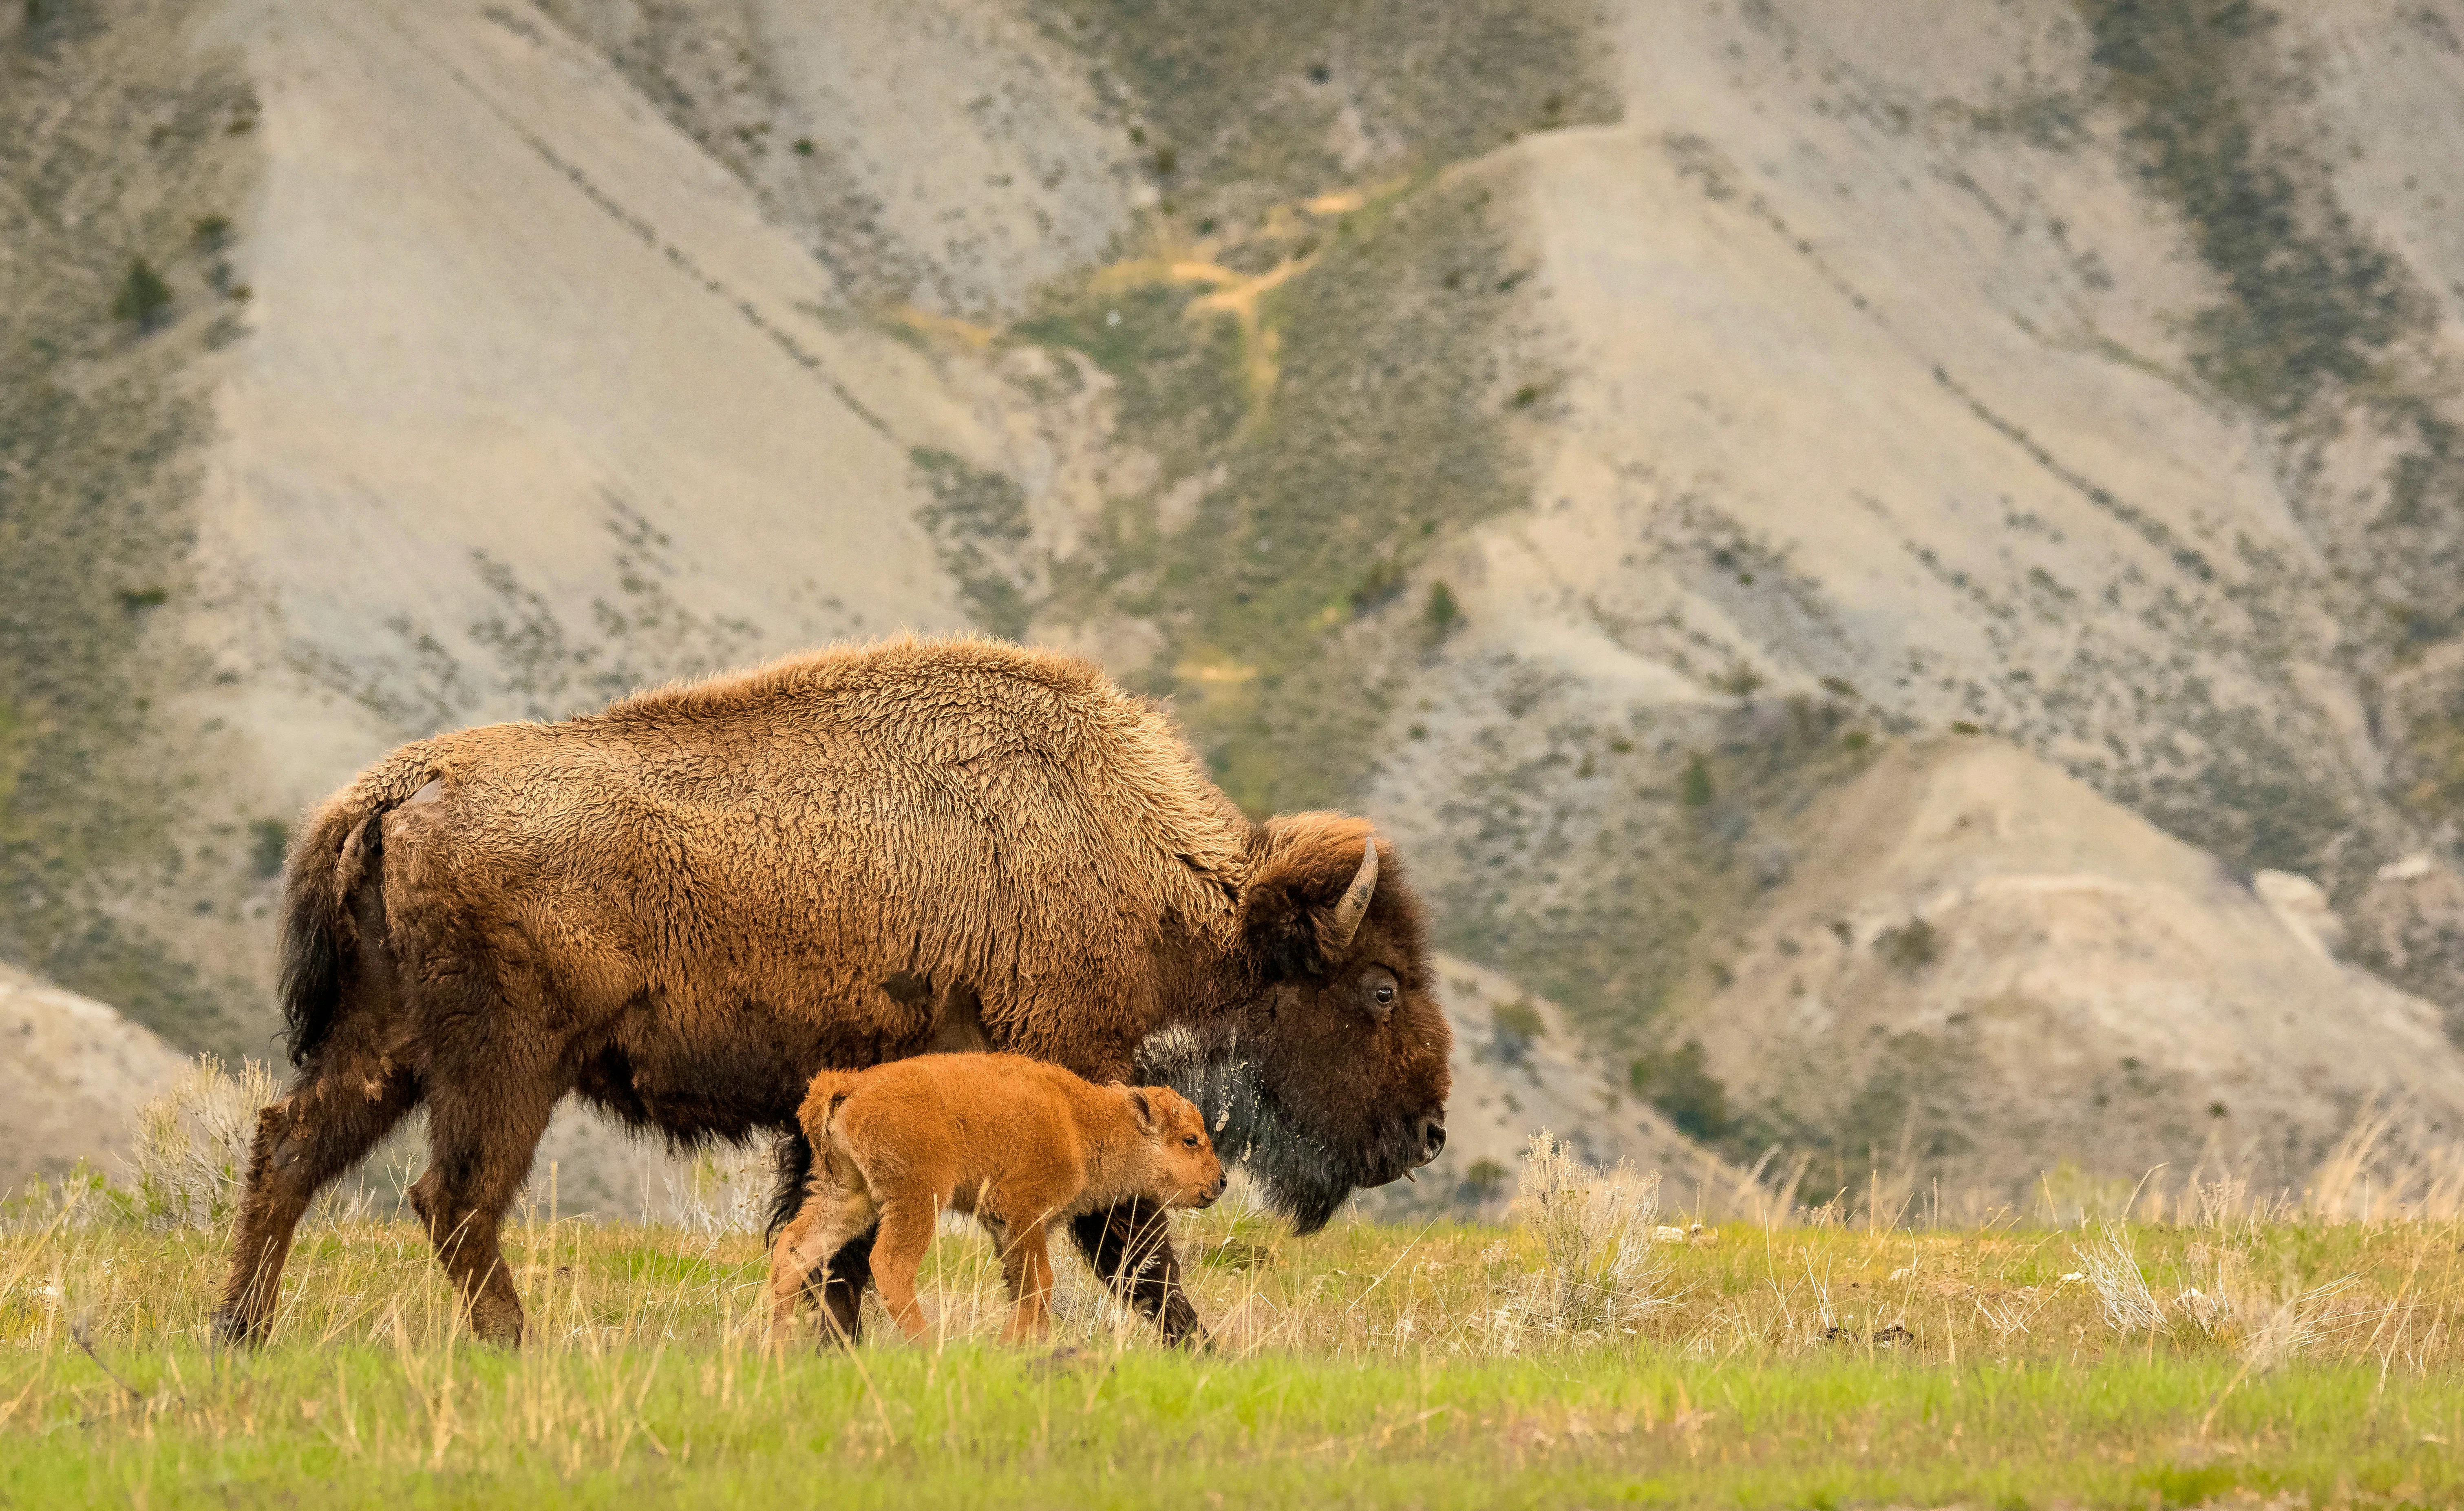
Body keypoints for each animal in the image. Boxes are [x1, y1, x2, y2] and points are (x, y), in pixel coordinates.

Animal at [768, 1054, 1226, 1344]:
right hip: (917, 1199)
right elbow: (1039, 1283)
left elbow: (1027, 1287)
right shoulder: (1022, 1213)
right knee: (890, 1265)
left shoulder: (1011, 1227)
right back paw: (930, 1347)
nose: (1220, 1182)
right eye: (1190, 1140)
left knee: (794, 1249)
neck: (1080, 1120)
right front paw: (1011, 1345)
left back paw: (778, 1351)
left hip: (847, 1196)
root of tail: (850, 1085)